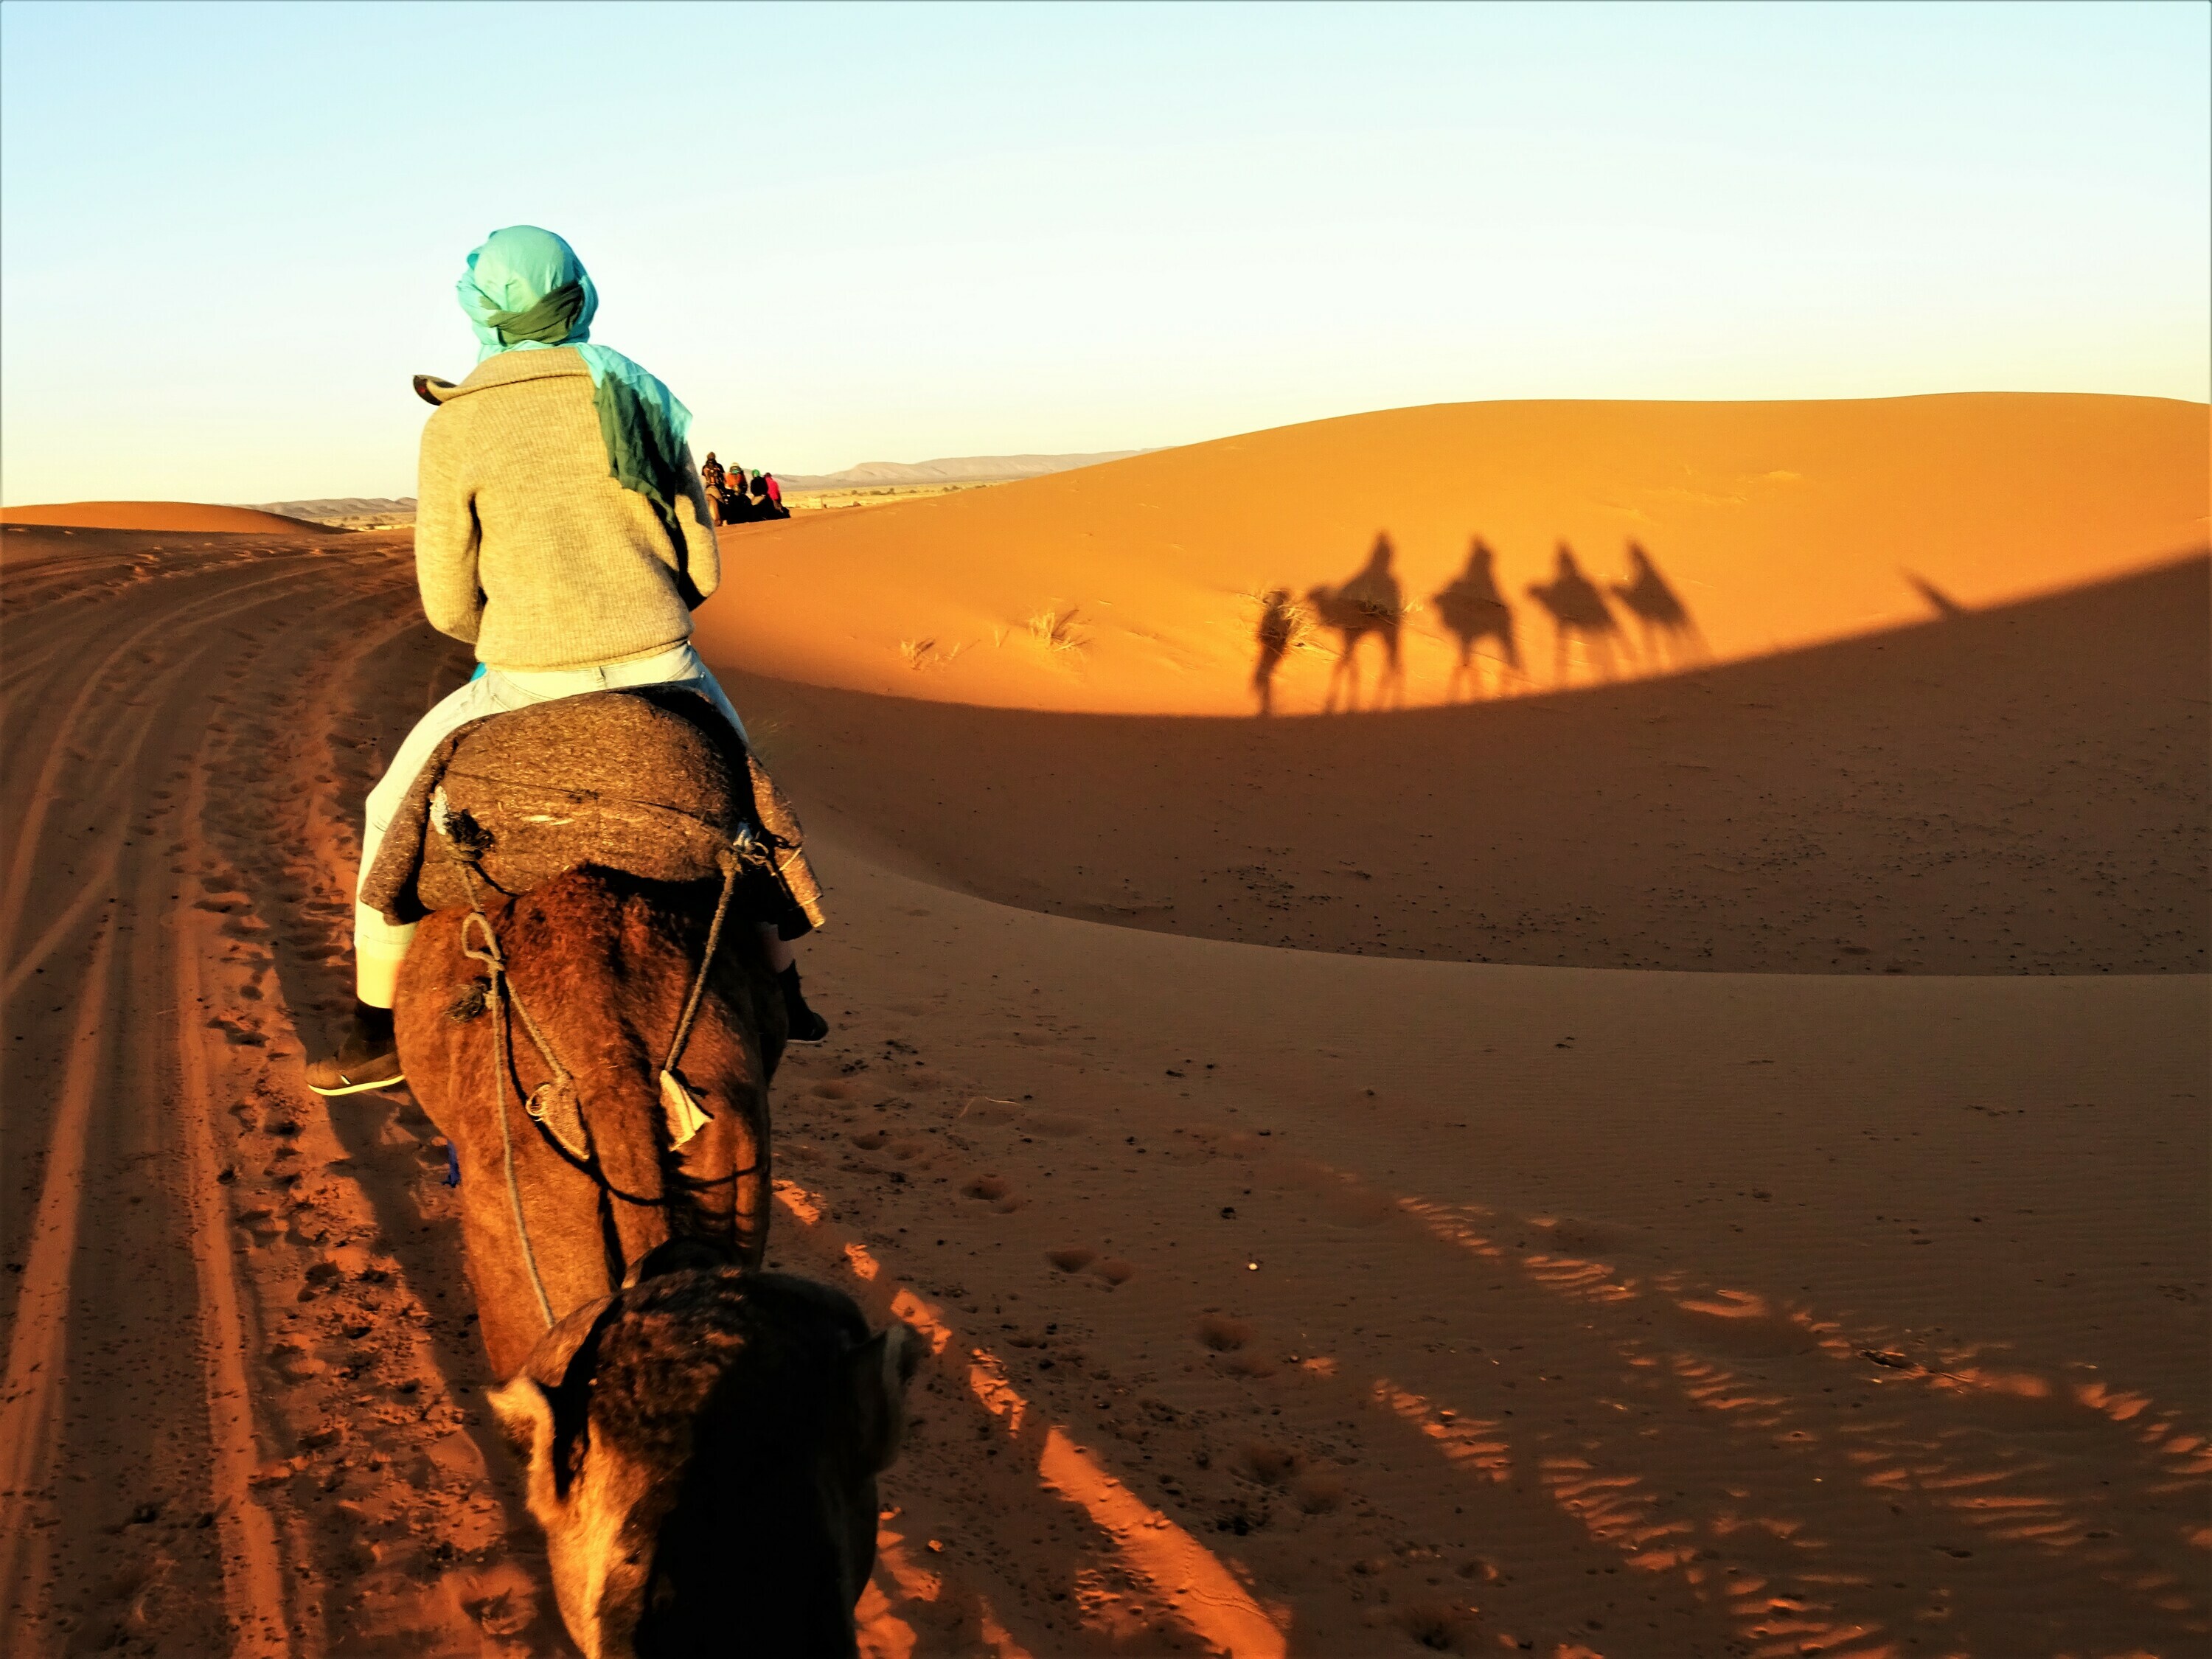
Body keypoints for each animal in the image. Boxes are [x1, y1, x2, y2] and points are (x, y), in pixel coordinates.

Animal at [1301, 535, 1407, 712]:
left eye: (1315, 593)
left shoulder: (1349, 636)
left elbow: (1345, 666)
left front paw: (1333, 704)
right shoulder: (1350, 638)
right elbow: (1350, 667)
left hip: (1389, 635)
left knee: (1395, 664)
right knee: (1392, 664)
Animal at [1433, 540, 1522, 703]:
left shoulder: (1466, 636)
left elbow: (1465, 664)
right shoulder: (1466, 638)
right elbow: (1466, 664)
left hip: (1504, 637)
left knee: (1513, 661)